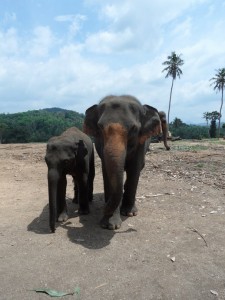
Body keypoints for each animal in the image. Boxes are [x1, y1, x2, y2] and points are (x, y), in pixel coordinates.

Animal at [83, 95, 163, 229]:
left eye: (133, 128)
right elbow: (107, 171)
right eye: (100, 127)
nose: (103, 207)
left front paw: (129, 213)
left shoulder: (140, 143)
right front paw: (110, 225)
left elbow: (134, 169)